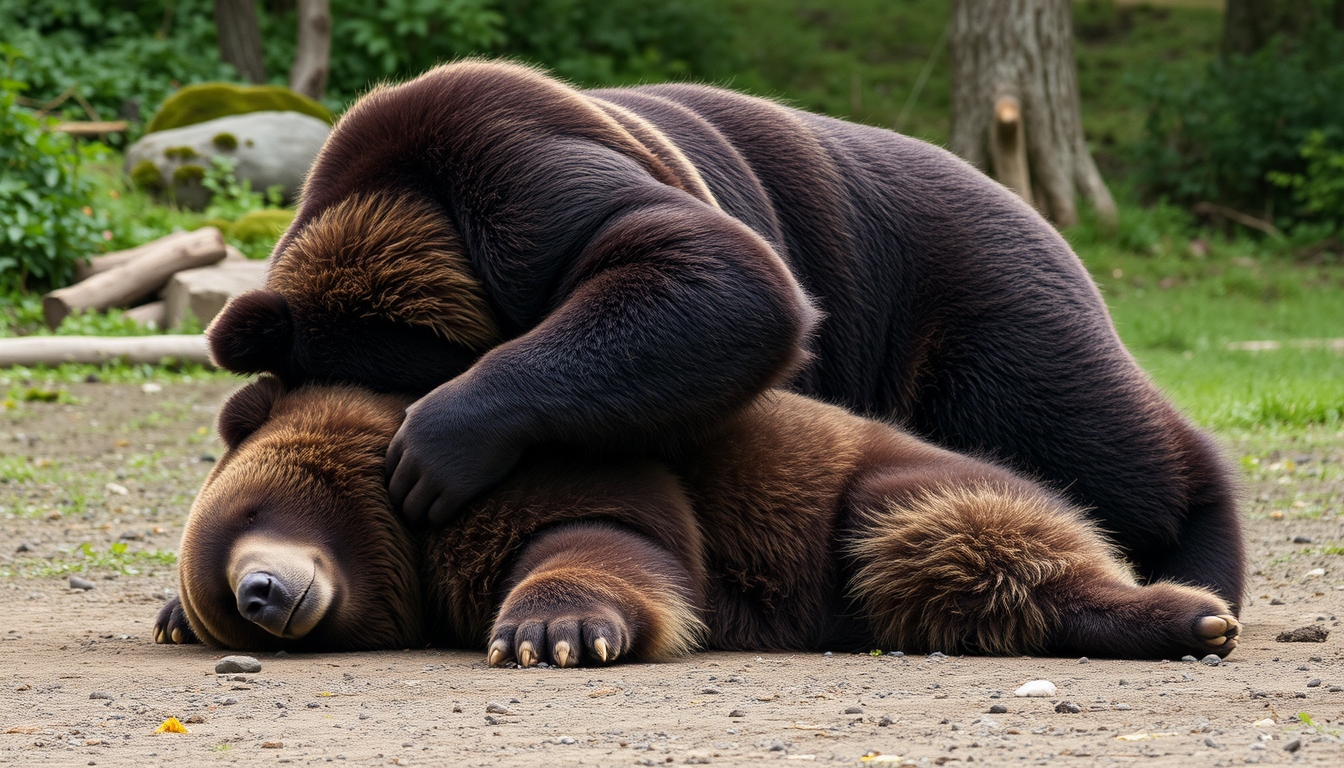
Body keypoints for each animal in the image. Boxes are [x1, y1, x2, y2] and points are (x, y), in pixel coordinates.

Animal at [154, 381, 1236, 664]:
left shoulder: (531, 473)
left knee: (954, 541)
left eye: (249, 509)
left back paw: (1191, 613)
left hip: (884, 487)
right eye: (225, 603)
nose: (265, 592)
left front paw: (553, 631)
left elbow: (610, 536)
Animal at [204, 60, 1241, 613]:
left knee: (1088, 436)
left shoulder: (526, 182)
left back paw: (1204, 559)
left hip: (962, 300)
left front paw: (438, 444)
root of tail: (1016, 191)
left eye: (401, 405)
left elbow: (711, 276)